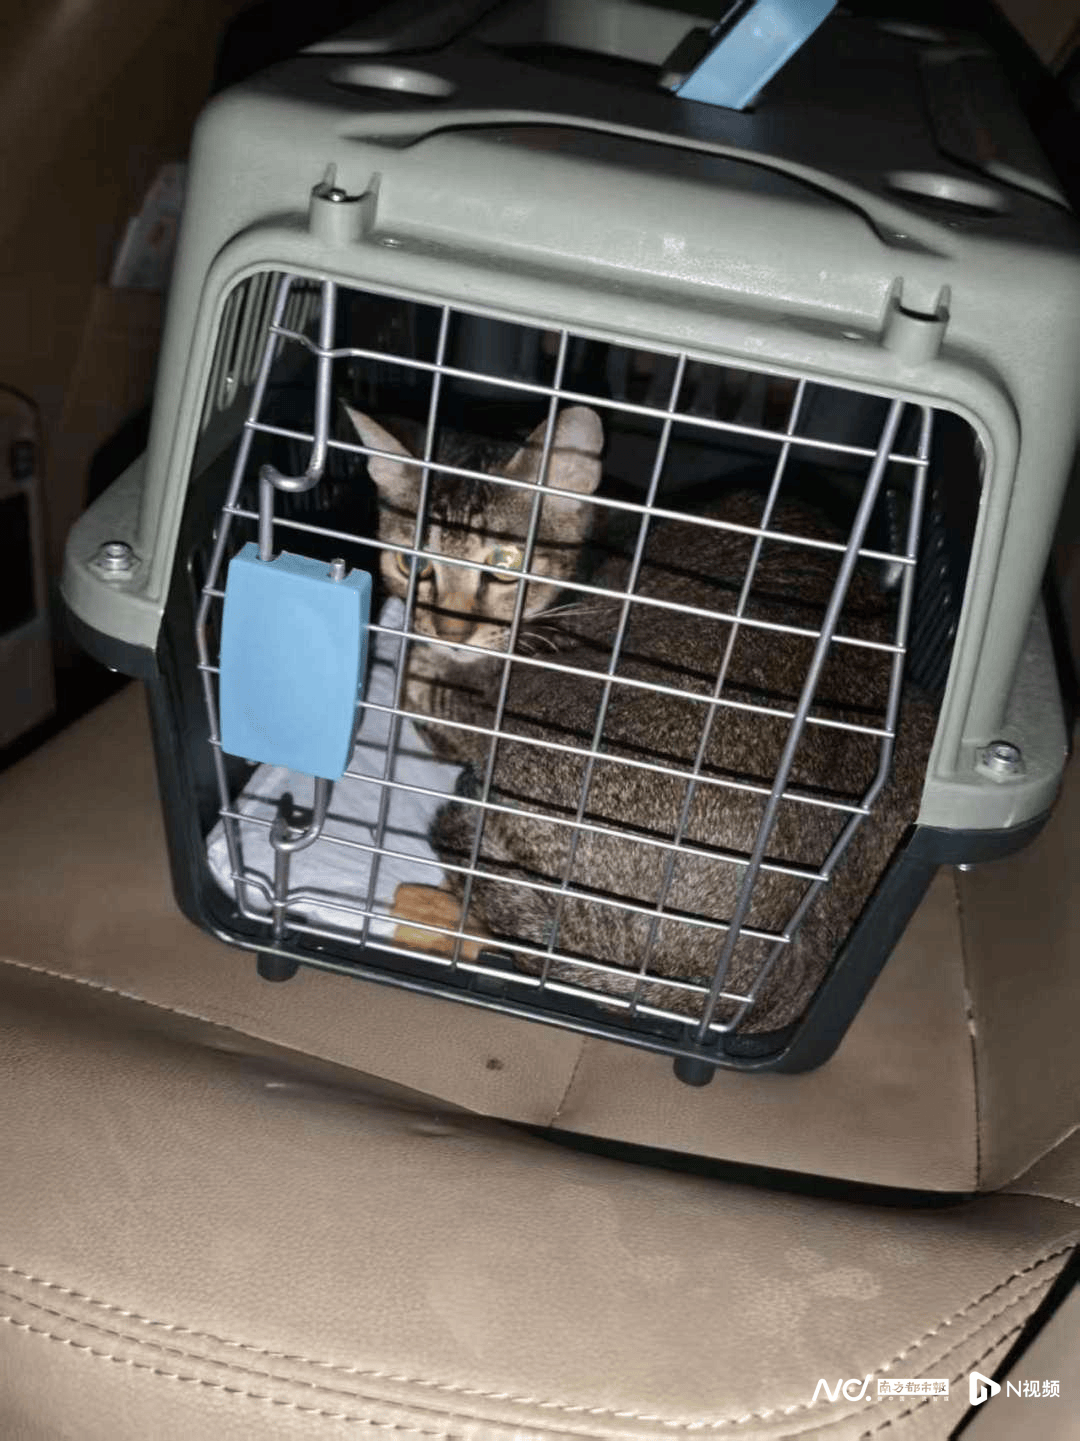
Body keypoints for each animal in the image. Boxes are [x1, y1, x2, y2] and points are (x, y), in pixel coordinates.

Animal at [346, 404, 936, 1038]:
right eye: (411, 562)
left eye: (505, 565)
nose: (449, 630)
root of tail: (763, 972)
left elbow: (423, 689)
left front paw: (421, 661)